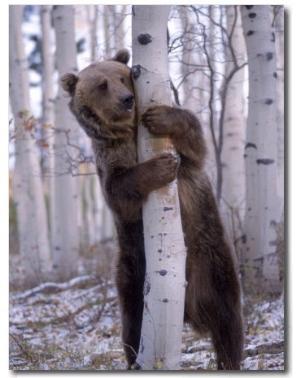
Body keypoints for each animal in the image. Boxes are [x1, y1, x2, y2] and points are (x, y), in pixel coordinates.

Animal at [60, 48, 244, 370]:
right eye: (102, 85)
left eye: (124, 77)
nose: (126, 99)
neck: (128, 133)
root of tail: (187, 308)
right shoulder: (109, 161)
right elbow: (120, 192)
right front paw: (161, 166)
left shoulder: (190, 164)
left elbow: (195, 144)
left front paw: (162, 118)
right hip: (133, 272)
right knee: (132, 329)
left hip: (213, 260)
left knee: (227, 318)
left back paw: (230, 360)